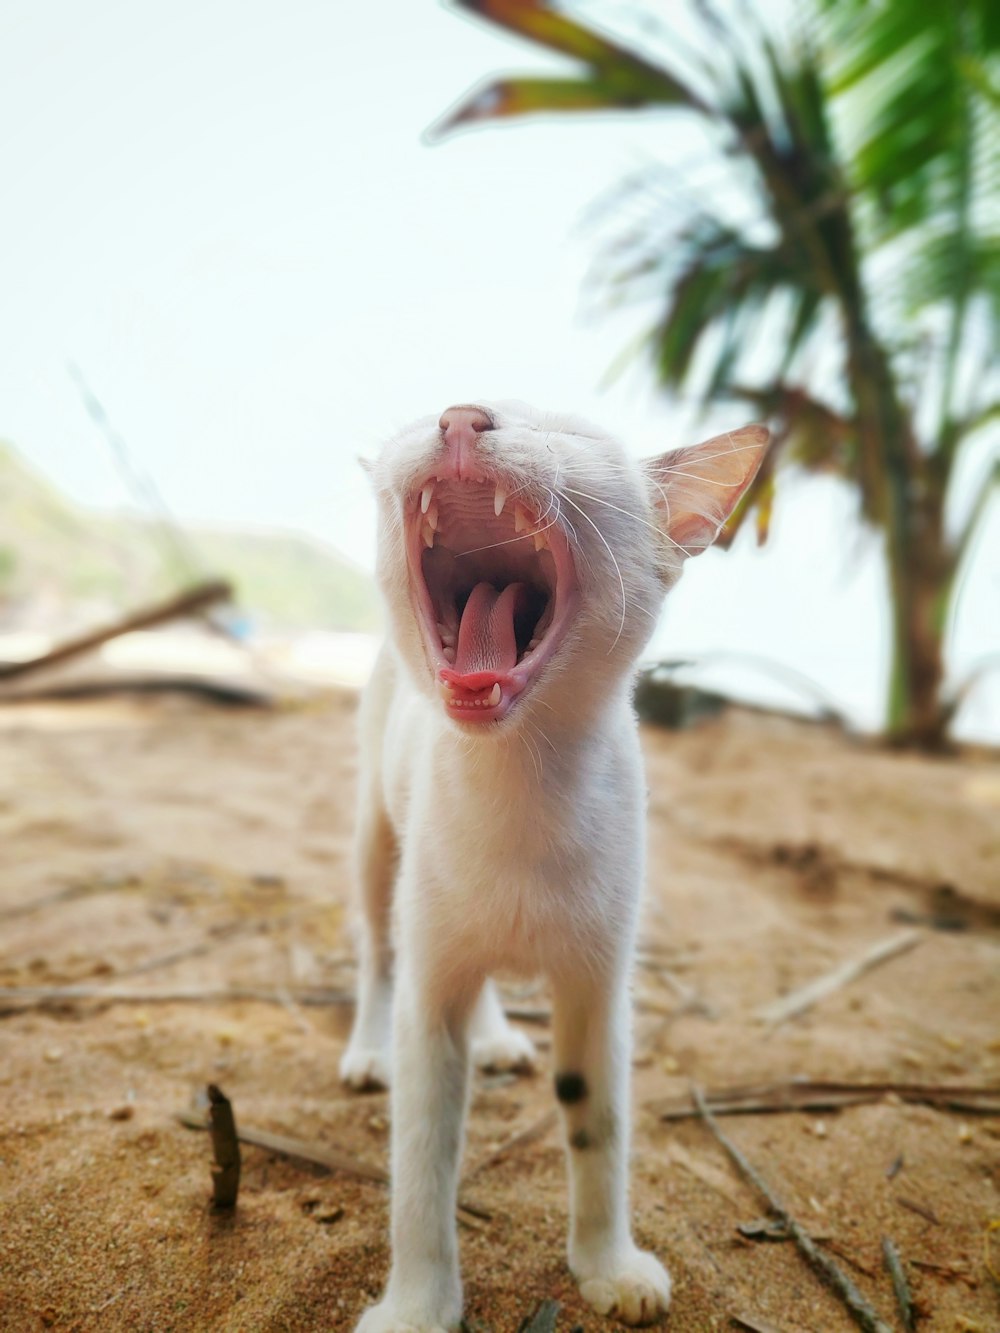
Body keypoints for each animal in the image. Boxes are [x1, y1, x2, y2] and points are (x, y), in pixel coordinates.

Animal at [344, 399, 773, 1327]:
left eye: (572, 433)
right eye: (440, 407)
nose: (459, 414)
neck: (517, 781)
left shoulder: (599, 991)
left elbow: (598, 1127)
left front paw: (607, 1265)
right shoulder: (428, 994)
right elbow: (422, 1161)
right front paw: (417, 1302)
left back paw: (498, 1035)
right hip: (376, 839)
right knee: (378, 949)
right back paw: (366, 1045)